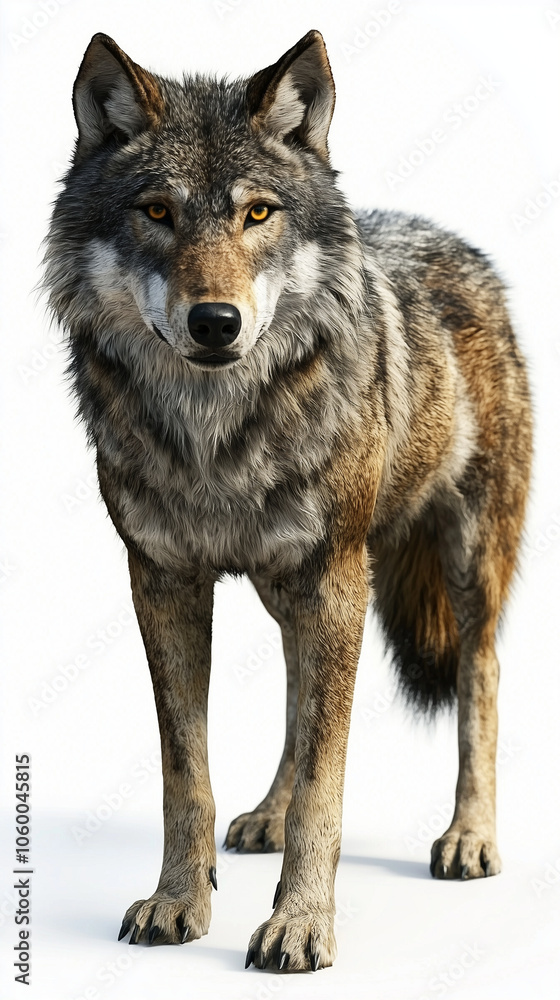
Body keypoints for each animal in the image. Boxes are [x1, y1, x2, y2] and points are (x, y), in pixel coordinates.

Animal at [44, 30, 532, 971]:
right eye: (157, 212)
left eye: (259, 214)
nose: (215, 322)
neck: (215, 439)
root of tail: (454, 240)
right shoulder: (162, 583)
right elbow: (188, 774)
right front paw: (178, 902)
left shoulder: (335, 577)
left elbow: (325, 785)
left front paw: (301, 923)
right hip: (294, 589)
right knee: (298, 696)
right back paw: (265, 813)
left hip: (455, 559)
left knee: (478, 674)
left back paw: (470, 836)